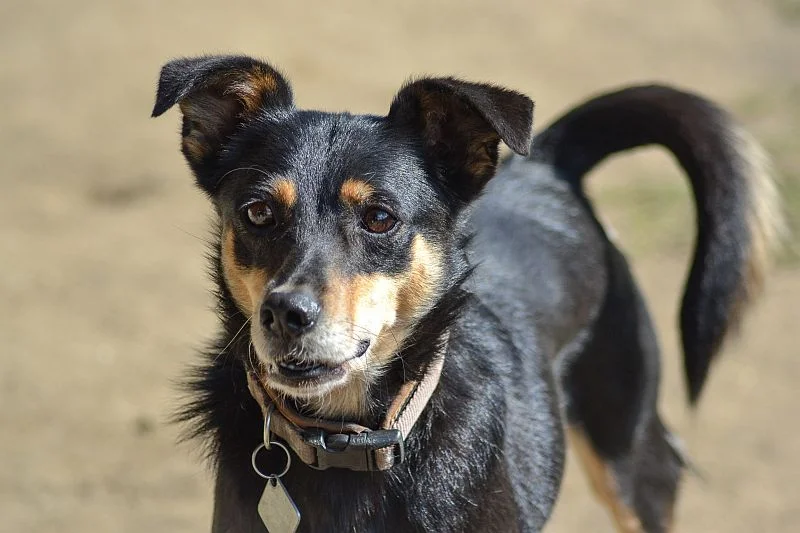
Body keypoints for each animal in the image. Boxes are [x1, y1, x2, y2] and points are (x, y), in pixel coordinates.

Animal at [150, 56, 780, 528]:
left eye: (380, 218)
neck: (349, 440)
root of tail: (549, 163)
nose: (284, 314)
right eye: (257, 212)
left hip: (628, 447)